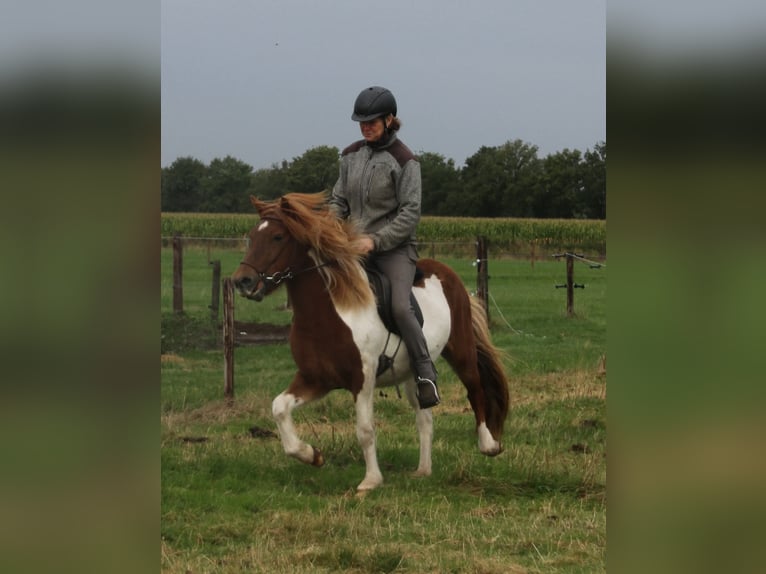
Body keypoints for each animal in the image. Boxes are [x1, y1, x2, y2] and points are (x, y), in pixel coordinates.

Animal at [231, 192, 510, 491]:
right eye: (251, 236)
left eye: (278, 237)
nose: (242, 281)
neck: (329, 314)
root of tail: (448, 274)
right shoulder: (315, 379)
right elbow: (279, 408)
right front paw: (312, 455)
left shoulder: (362, 379)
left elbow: (365, 430)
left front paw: (371, 480)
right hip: (413, 375)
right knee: (425, 417)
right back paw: (423, 471)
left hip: (461, 351)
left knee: (476, 390)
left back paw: (489, 445)